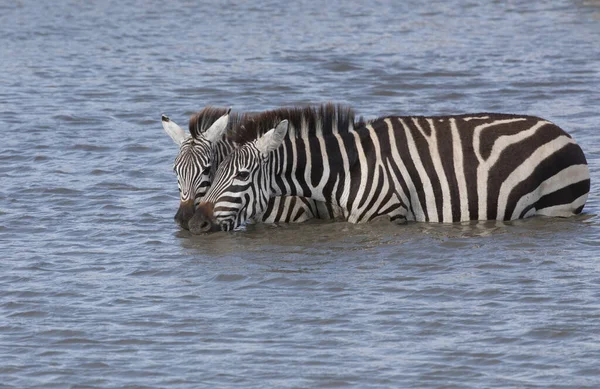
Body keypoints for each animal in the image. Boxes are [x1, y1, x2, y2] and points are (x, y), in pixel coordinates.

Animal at [193, 107, 592, 232]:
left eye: (242, 177)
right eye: (213, 172)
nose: (196, 224)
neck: (347, 169)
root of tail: (563, 132)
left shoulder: (387, 216)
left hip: (555, 208)